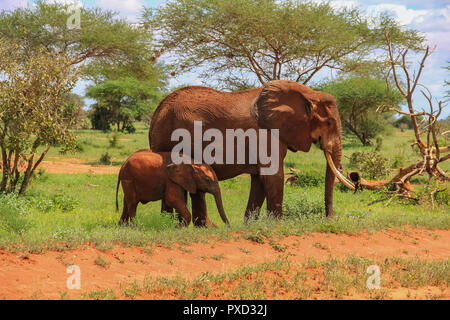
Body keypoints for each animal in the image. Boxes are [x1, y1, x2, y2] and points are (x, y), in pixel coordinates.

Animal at [149, 79, 356, 225]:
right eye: (329, 122)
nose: (328, 220)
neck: (308, 93)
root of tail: (158, 111)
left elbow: (260, 180)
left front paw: (250, 226)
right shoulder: (266, 134)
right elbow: (273, 176)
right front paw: (277, 226)